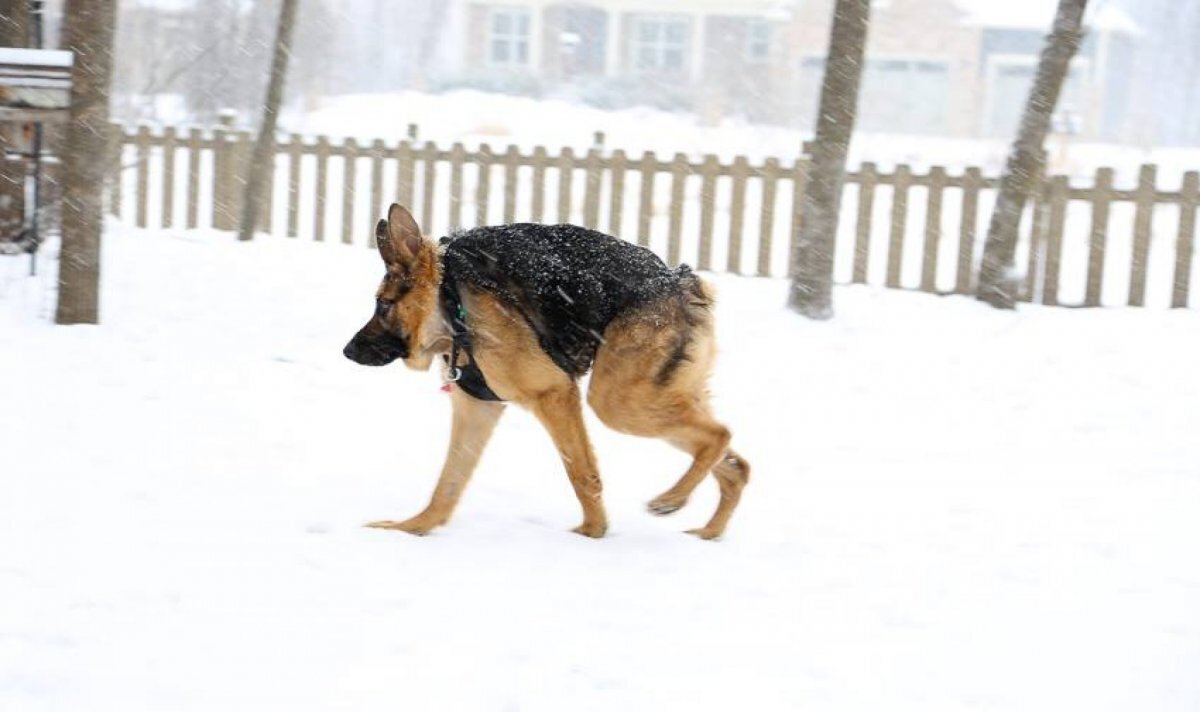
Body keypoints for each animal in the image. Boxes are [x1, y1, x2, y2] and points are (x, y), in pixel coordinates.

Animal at [343, 205, 744, 537]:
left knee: (719, 435)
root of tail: (680, 280)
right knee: (736, 465)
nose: (347, 351)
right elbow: (448, 483)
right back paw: (708, 531)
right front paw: (412, 528)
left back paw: (671, 499)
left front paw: (592, 533)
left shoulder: (553, 393)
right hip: (654, 398)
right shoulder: (477, 409)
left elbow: (582, 473)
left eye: (383, 304)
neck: (450, 301)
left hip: (618, 402)